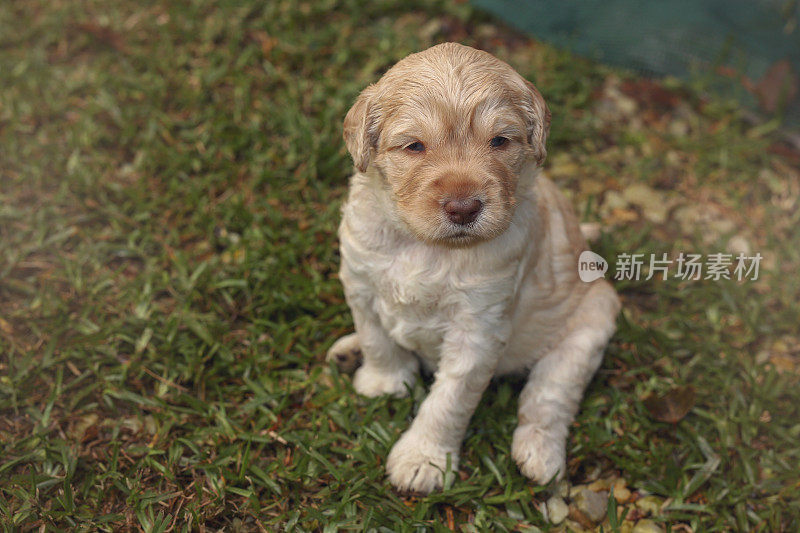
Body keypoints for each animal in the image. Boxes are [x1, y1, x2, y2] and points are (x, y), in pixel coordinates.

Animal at [324, 43, 620, 492]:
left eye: (499, 141)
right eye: (414, 146)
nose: (463, 208)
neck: (426, 247)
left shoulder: (478, 327)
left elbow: (449, 400)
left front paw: (423, 459)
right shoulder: (359, 279)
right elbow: (376, 336)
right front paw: (385, 381)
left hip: (591, 323)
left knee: (550, 394)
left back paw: (540, 454)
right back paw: (348, 351)